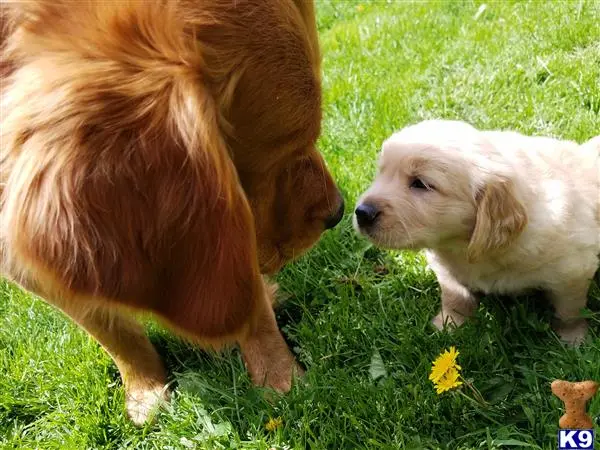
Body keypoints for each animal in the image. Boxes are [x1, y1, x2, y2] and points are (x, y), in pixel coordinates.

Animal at [356, 119, 600, 344]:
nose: (361, 213)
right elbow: (455, 295)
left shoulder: (574, 269)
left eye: (421, 183)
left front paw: (573, 339)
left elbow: (569, 310)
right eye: (381, 173)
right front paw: (449, 324)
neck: (465, 245)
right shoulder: (446, 266)